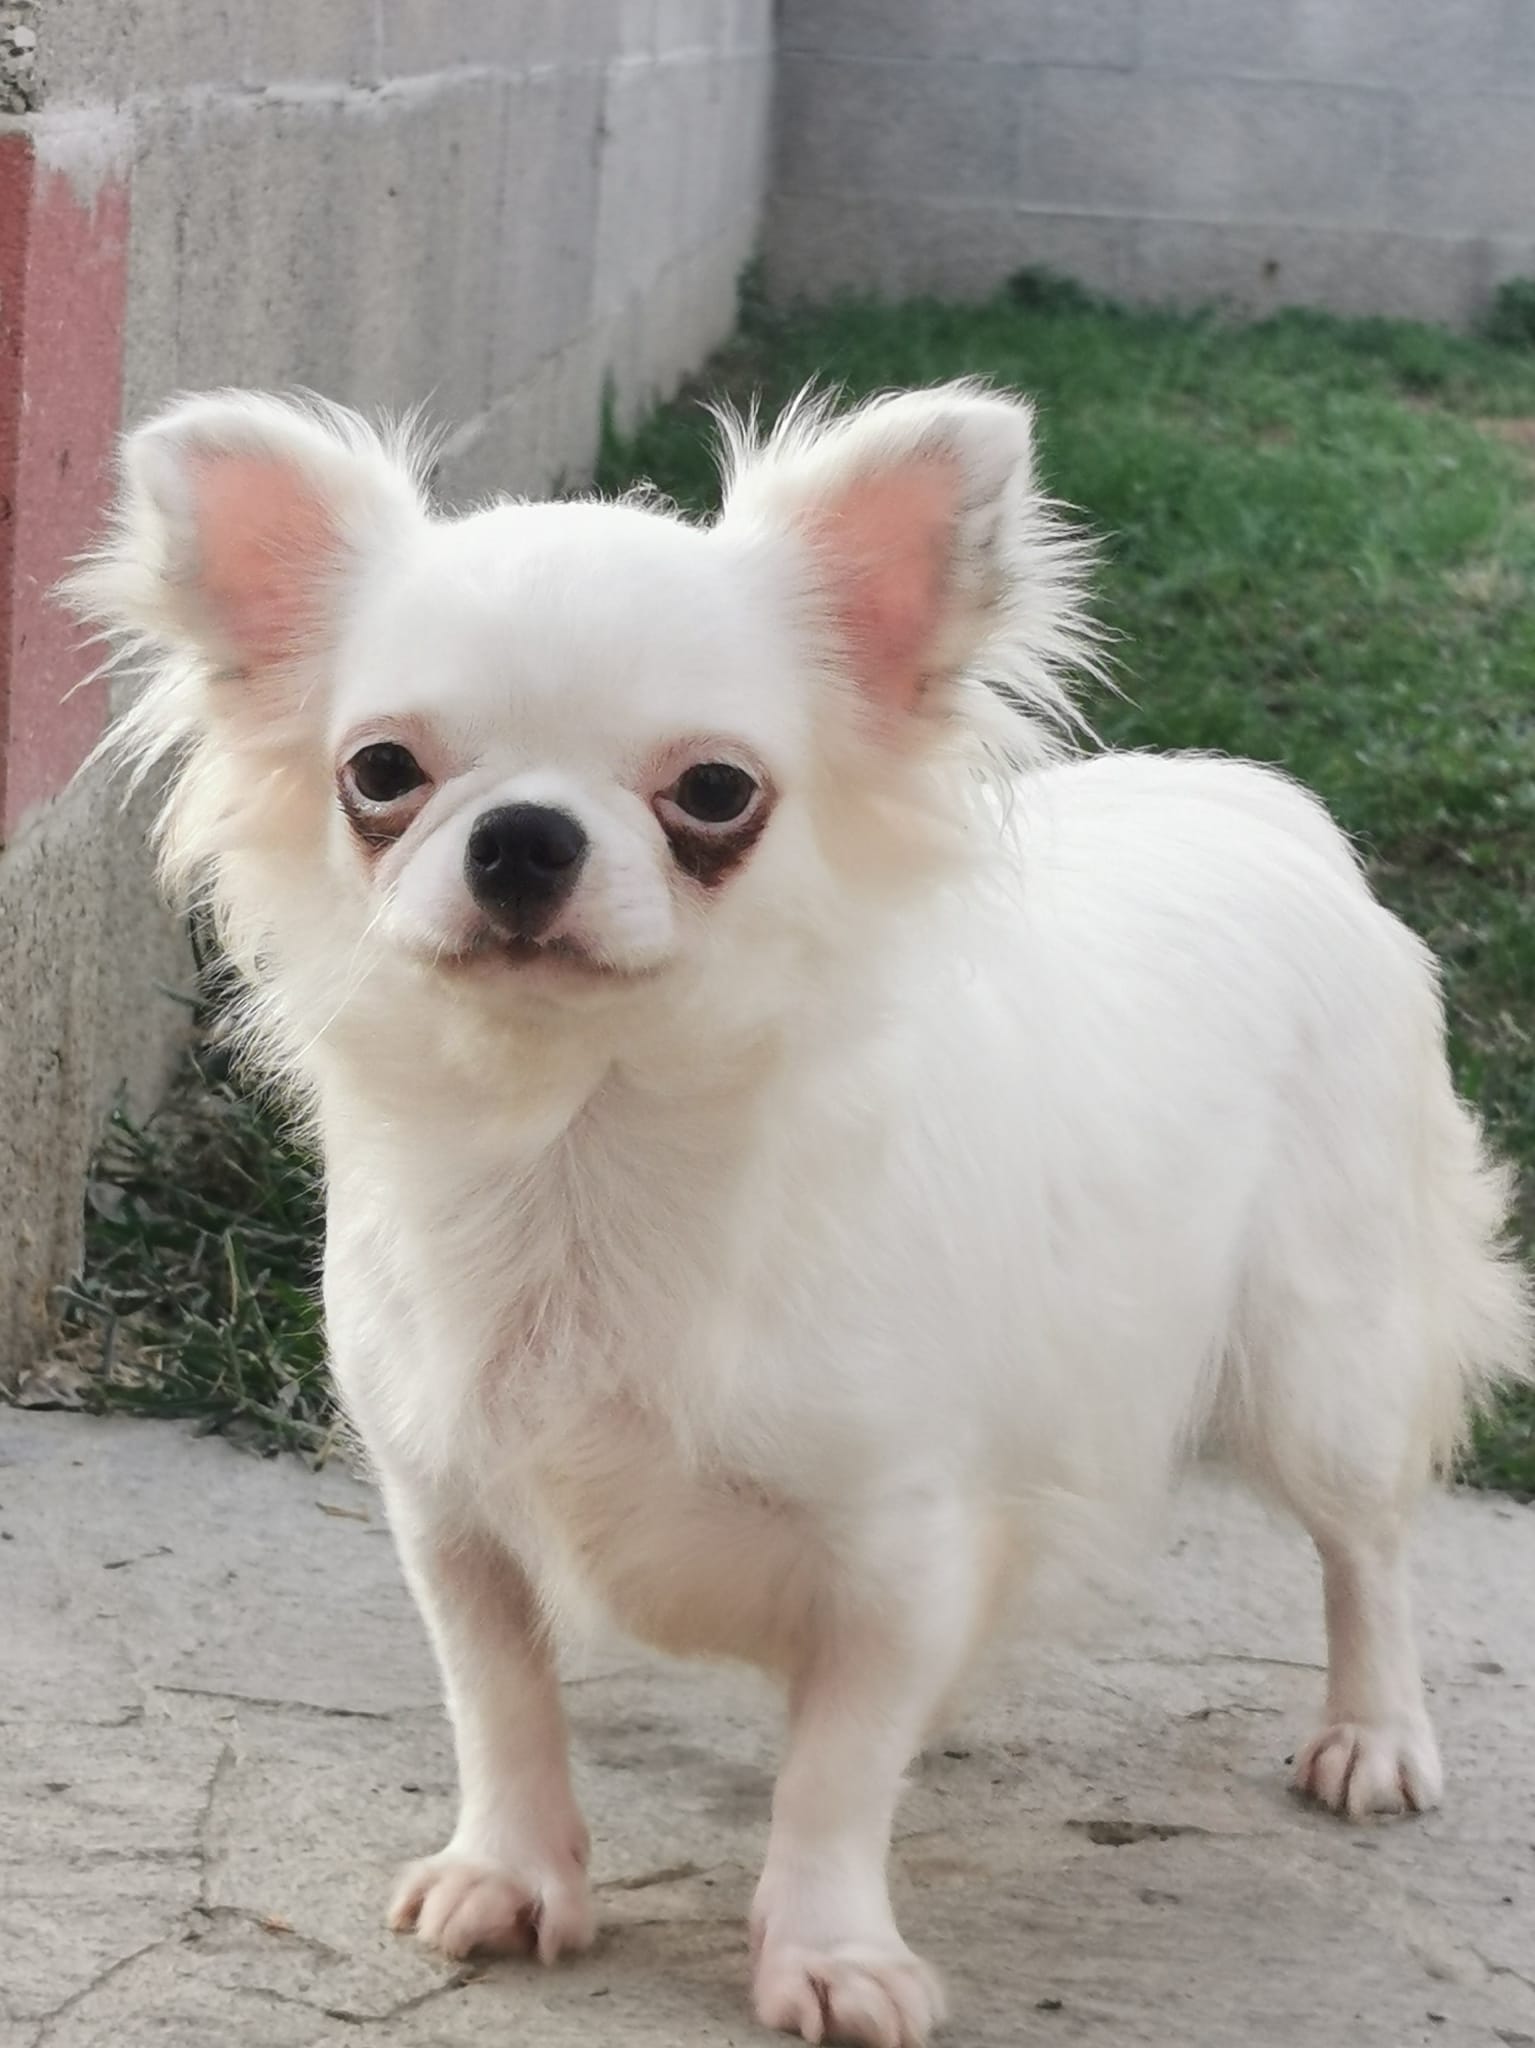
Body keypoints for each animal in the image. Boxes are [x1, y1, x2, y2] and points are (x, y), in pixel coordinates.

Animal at [81, 385, 1530, 2048]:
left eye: (713, 793)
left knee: (1366, 1550)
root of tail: (1262, 805)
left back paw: (1374, 1732)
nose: (522, 833)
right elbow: (502, 1707)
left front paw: (828, 1949)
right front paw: (511, 1875)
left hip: (1316, 1369)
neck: (588, 1150)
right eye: (381, 771)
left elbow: (834, 1775)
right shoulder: (452, 1516)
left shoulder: (892, 1548)